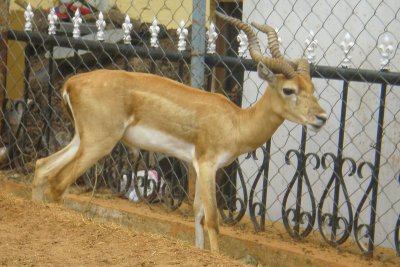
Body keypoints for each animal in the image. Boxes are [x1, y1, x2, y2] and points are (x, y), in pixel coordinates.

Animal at [32, 12, 328, 254]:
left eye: (312, 88)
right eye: (289, 90)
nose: (322, 118)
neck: (236, 121)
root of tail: (72, 82)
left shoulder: (195, 165)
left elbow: (196, 214)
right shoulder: (208, 165)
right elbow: (212, 220)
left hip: (82, 139)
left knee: (42, 166)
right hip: (98, 143)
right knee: (58, 181)